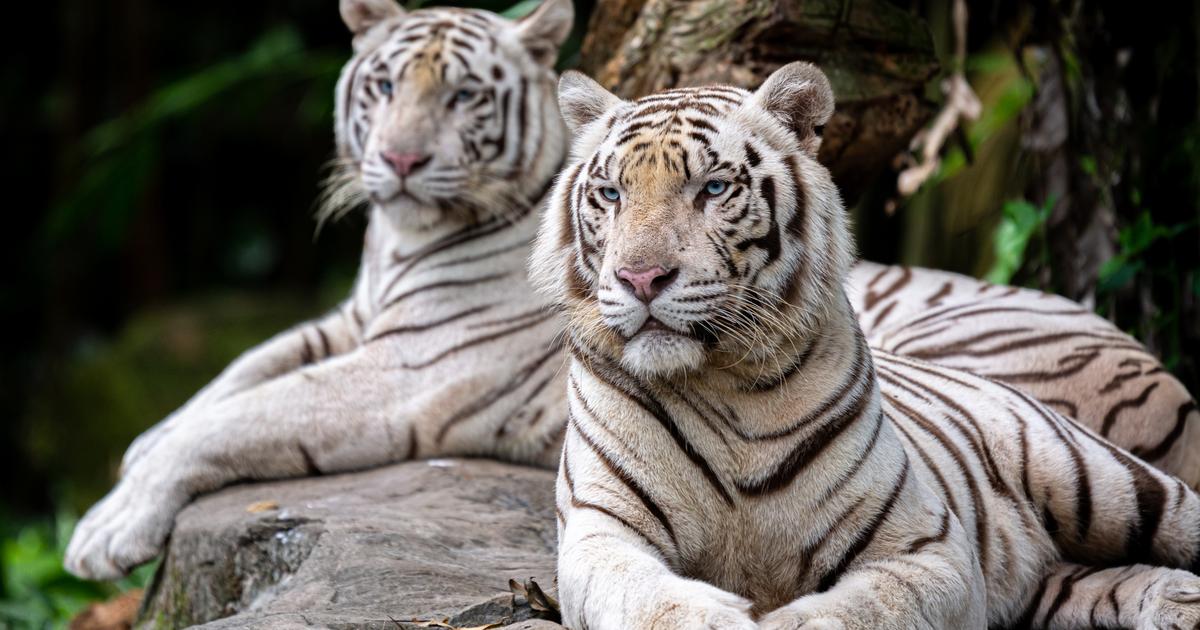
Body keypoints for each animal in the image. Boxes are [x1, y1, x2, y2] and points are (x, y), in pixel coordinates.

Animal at [64, 0, 576, 580]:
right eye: (385, 86)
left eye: (464, 96)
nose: (401, 160)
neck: (399, 242)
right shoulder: (351, 319)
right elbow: (242, 369)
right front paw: (146, 443)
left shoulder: (413, 364)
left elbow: (241, 414)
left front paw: (109, 527)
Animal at [534, 62, 1200, 628]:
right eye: (612, 194)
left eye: (714, 188)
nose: (641, 278)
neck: (726, 381)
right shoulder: (602, 534)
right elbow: (650, 599)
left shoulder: (927, 550)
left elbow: (855, 610)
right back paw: (1175, 601)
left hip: (1099, 477)